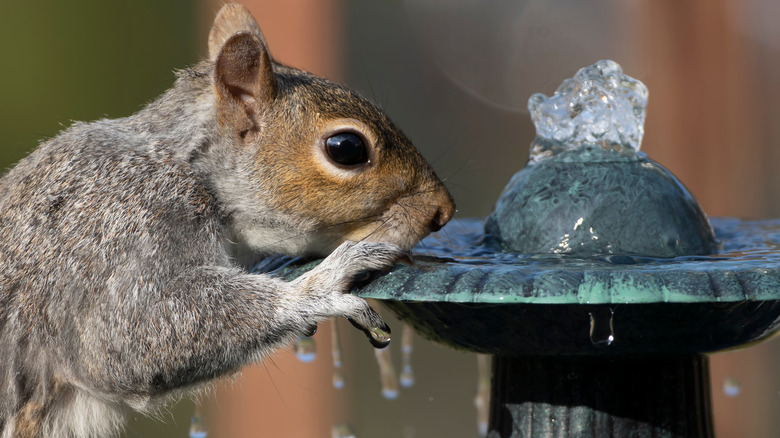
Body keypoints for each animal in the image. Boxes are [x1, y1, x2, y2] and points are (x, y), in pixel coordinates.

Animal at [0, 4, 454, 438]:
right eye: (347, 148)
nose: (442, 212)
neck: (186, 165)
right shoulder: (122, 228)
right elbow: (124, 339)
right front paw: (320, 286)